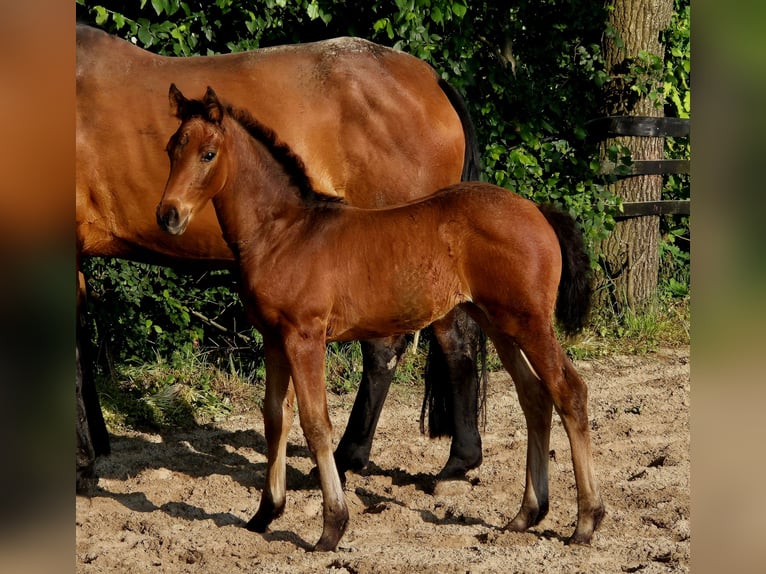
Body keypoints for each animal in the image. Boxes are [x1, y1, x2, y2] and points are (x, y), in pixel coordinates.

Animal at [156, 86, 608, 552]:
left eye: (208, 154)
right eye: (172, 148)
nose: (168, 215)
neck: (284, 233)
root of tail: (537, 210)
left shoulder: (304, 337)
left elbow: (315, 423)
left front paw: (332, 527)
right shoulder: (274, 339)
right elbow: (274, 418)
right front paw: (265, 513)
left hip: (530, 322)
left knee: (569, 392)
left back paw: (586, 520)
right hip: (499, 323)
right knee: (534, 397)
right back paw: (525, 514)